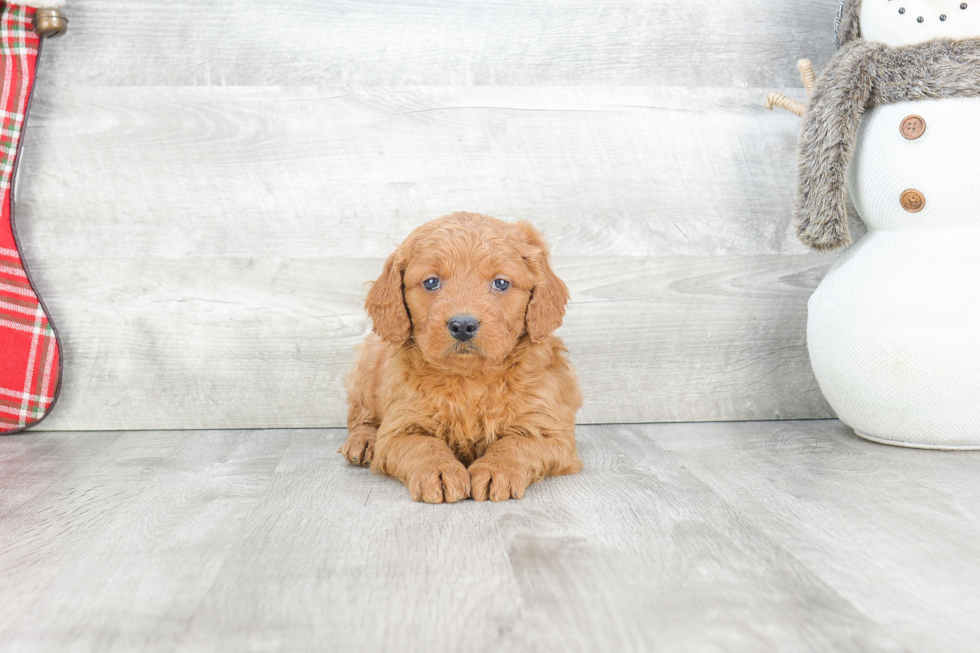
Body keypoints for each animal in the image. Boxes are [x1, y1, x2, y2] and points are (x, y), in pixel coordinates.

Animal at [340, 211, 580, 502]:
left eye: (501, 283)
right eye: (432, 282)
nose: (463, 325)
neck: (469, 376)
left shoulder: (549, 431)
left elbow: (515, 443)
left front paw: (495, 470)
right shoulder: (400, 428)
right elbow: (424, 444)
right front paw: (440, 471)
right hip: (366, 363)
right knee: (360, 415)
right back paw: (363, 442)